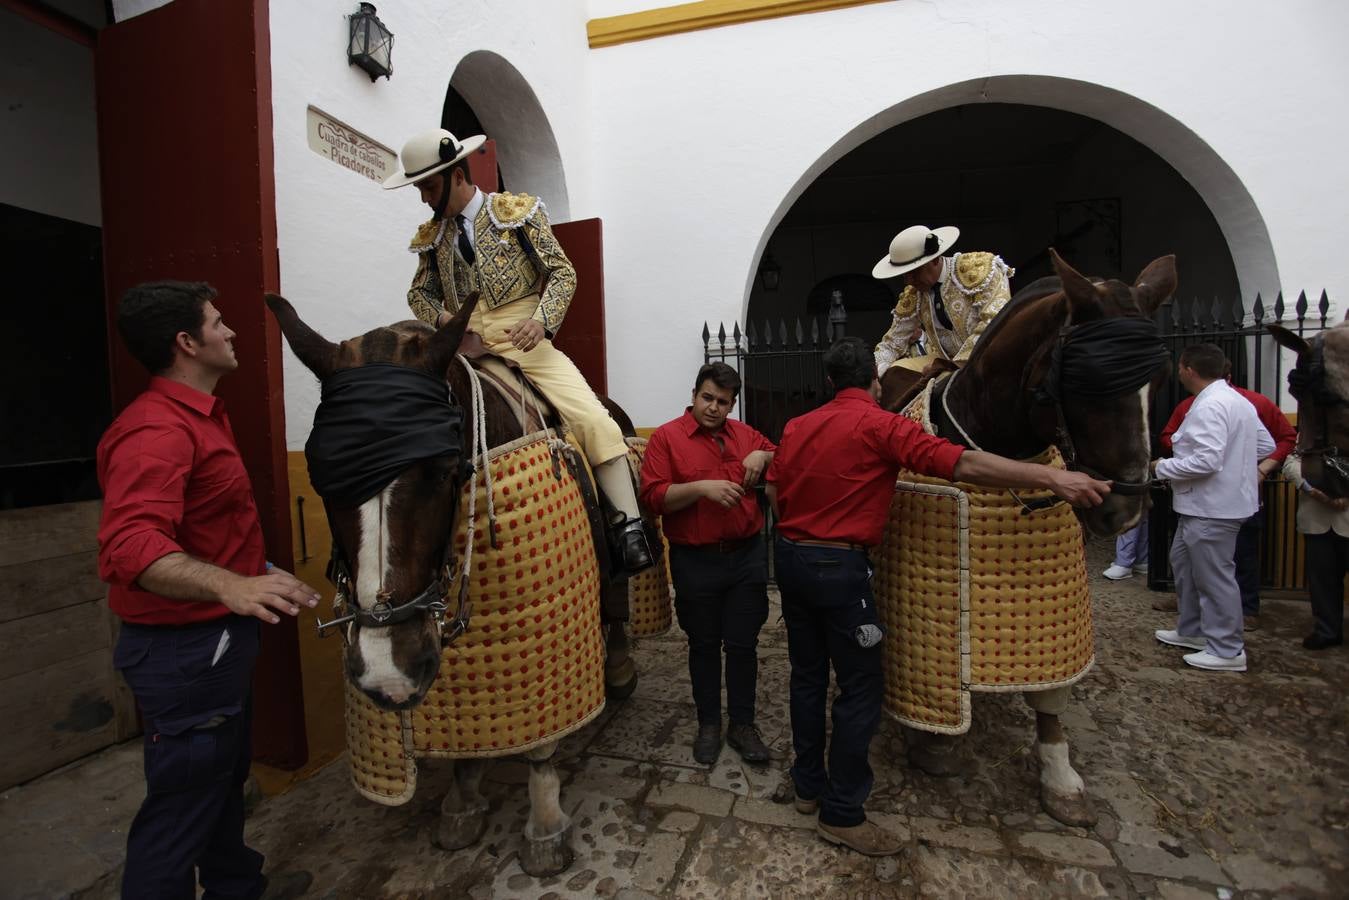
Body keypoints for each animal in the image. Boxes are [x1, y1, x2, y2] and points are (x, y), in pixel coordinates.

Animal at [265, 292, 650, 874]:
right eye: (322, 479)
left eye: (444, 469)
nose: (387, 673)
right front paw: (463, 801)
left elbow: (540, 733)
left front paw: (544, 826)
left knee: (615, 593)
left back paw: (621, 667)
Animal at [879, 249, 1176, 825]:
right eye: (1083, 379)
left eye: (1157, 378)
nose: (1125, 509)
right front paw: (937, 745)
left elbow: (1051, 696)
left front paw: (1061, 779)